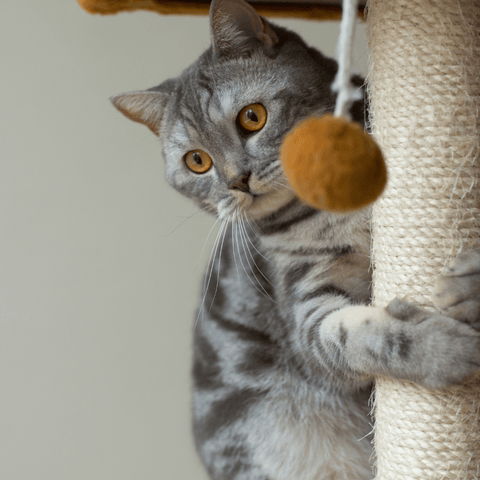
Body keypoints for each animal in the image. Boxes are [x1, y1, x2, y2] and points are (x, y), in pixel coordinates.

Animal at [109, 1, 480, 478]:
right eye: (197, 161)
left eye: (252, 117)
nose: (237, 181)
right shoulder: (306, 307)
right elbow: (355, 337)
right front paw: (446, 347)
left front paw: (467, 284)